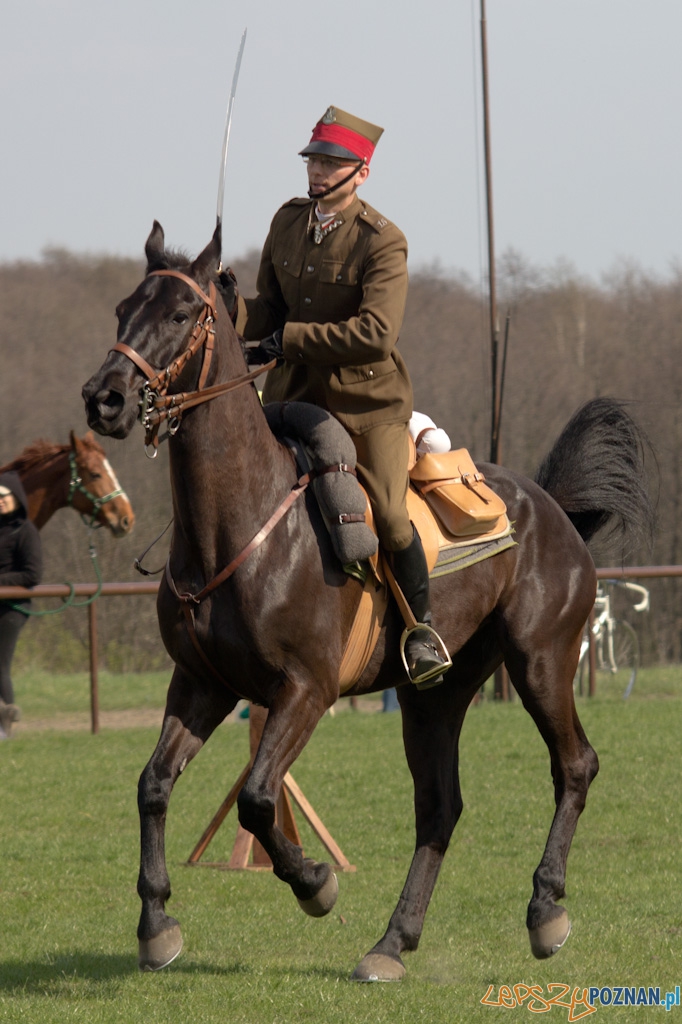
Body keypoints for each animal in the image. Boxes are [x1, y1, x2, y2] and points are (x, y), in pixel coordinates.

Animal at [82, 226, 651, 983]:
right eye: (123, 309)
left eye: (179, 314)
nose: (103, 398)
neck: (241, 522)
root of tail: (551, 508)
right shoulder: (202, 683)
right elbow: (153, 785)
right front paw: (156, 925)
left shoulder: (305, 689)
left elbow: (259, 800)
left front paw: (315, 883)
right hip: (433, 696)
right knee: (439, 807)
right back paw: (392, 942)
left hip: (541, 663)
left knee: (574, 767)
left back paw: (544, 910)